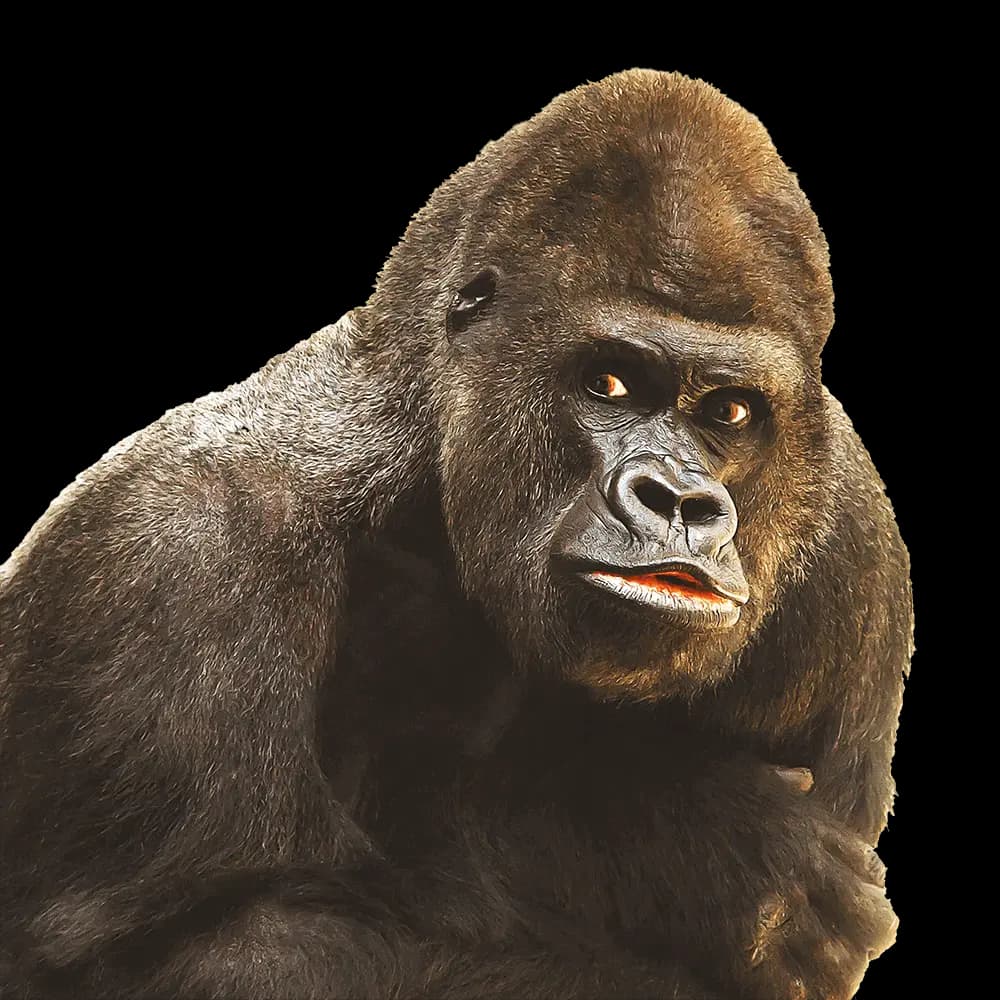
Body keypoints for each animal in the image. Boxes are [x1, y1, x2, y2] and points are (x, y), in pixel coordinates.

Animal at [0, 68, 912, 999]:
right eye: (609, 383)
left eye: (730, 412)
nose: (681, 502)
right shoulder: (175, 548)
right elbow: (200, 950)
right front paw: (675, 839)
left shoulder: (854, 549)